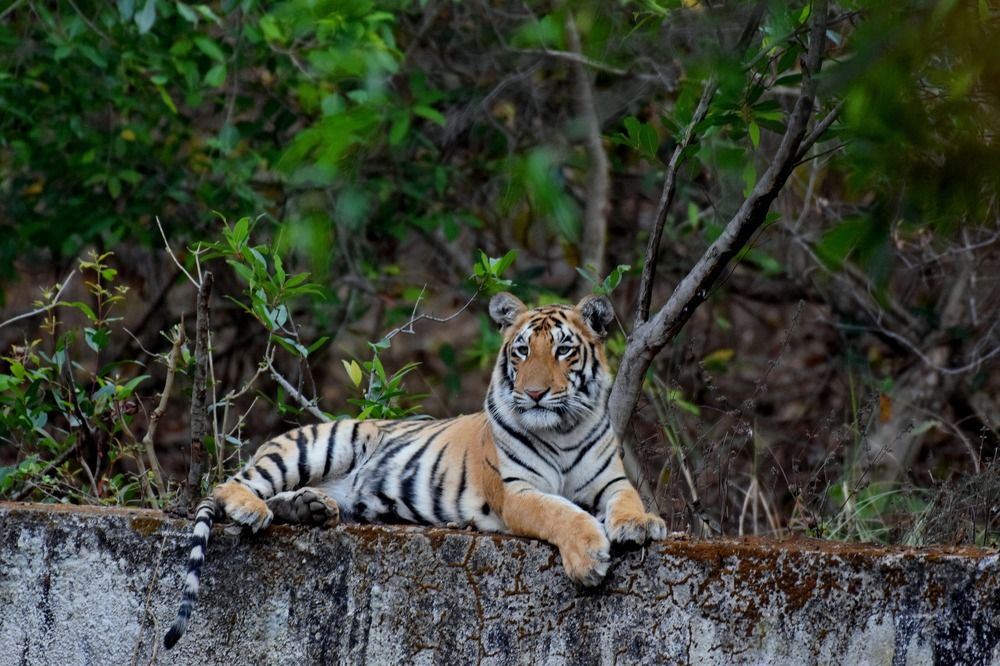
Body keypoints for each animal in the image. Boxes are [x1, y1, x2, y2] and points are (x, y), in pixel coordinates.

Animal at [164, 292, 666, 648]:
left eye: (564, 351)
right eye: (522, 351)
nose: (536, 394)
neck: (561, 429)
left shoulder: (610, 481)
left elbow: (628, 499)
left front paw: (642, 523)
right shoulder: (517, 492)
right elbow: (560, 512)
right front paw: (589, 558)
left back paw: (313, 508)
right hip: (320, 445)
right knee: (231, 484)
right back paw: (254, 509)